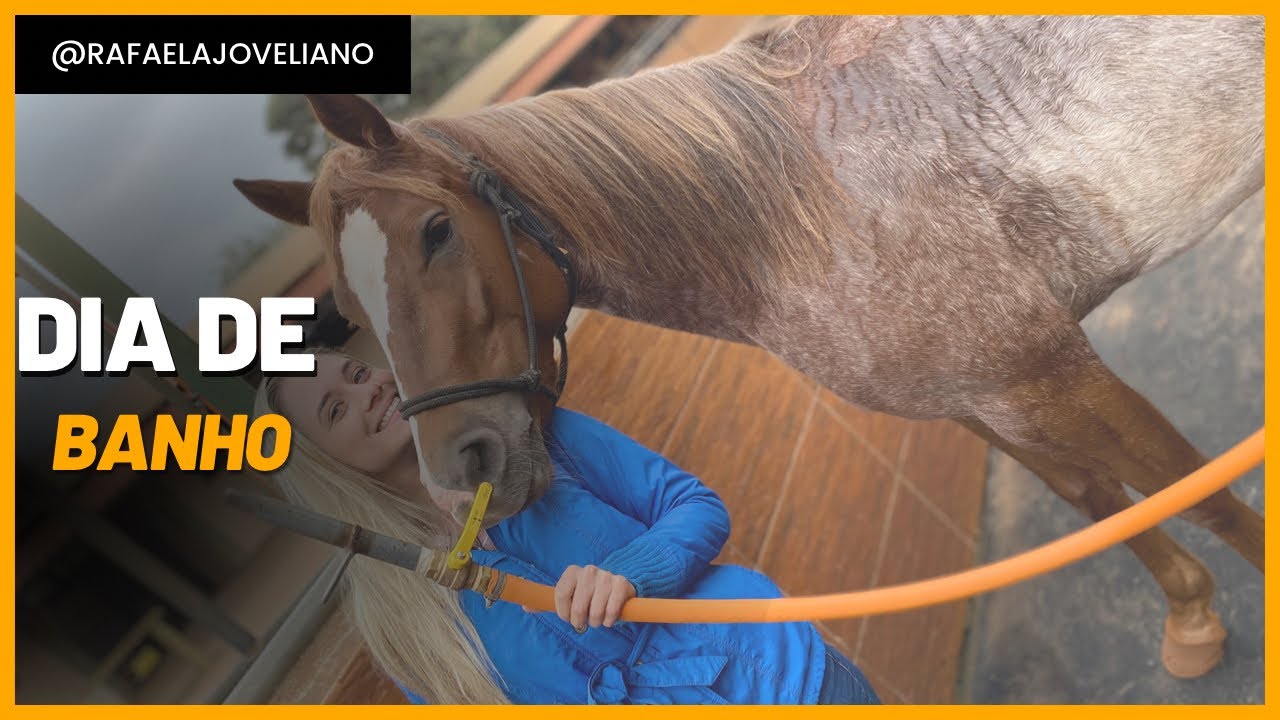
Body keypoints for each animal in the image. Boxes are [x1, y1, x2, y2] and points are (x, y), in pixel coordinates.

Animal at [235, 16, 1264, 679]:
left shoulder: (1047, 376)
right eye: (342, 305)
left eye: (438, 232)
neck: (801, 205)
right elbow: (1099, 500)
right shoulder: (986, 400)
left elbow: (1200, 495)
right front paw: (1193, 619)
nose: (461, 467)